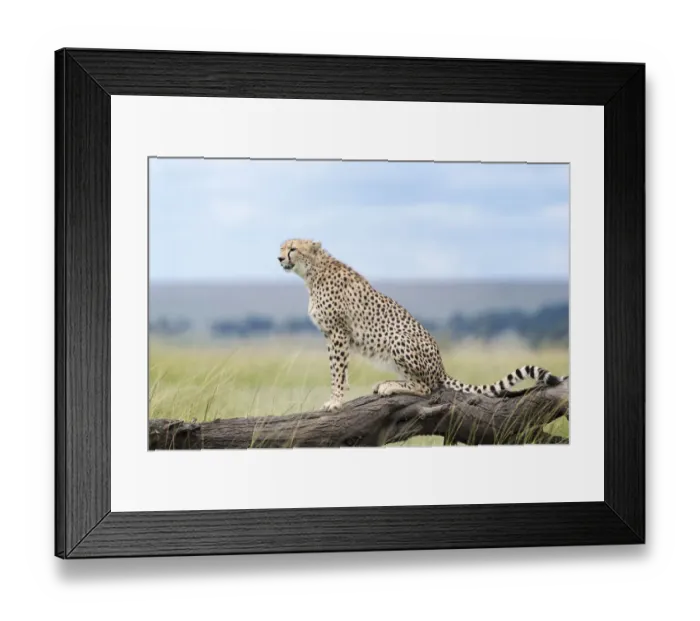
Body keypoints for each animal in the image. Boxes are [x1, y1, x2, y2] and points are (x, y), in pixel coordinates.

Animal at [278, 238, 568, 411]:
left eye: (293, 248)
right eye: (281, 247)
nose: (279, 259)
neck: (313, 271)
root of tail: (441, 366)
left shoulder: (337, 332)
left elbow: (337, 371)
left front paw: (336, 401)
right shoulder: (333, 335)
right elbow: (340, 371)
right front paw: (339, 397)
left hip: (398, 338)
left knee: (428, 387)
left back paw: (390, 386)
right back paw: (388, 382)